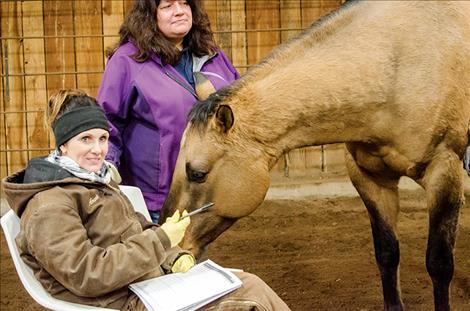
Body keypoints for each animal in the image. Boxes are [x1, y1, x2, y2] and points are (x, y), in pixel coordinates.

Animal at [161, 1, 470, 310]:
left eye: (197, 173)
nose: (168, 252)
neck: (393, 65)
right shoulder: (369, 177)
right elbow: (387, 253)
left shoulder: (443, 172)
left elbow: (439, 263)